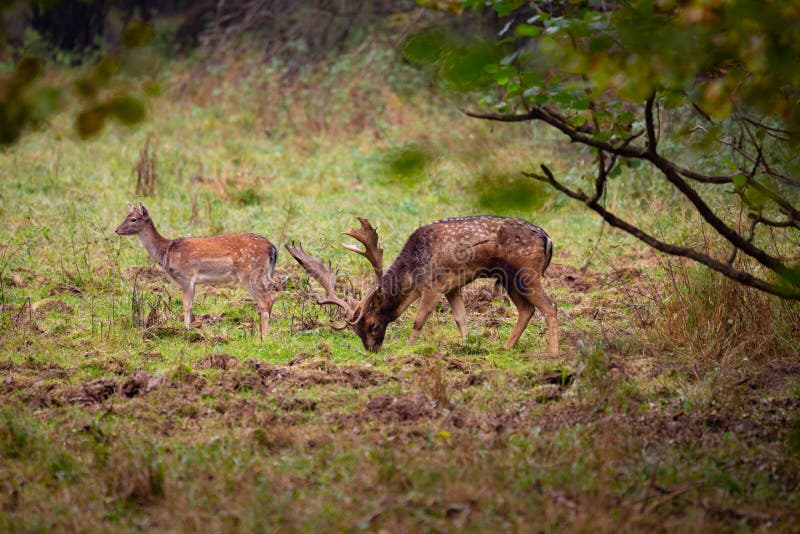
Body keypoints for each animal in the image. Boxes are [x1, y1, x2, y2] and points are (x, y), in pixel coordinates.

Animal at [114, 203, 278, 338]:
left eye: (134, 219)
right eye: (126, 216)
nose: (117, 230)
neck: (167, 252)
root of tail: (272, 248)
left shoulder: (186, 276)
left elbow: (187, 305)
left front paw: (185, 331)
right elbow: (191, 305)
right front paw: (190, 329)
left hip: (249, 273)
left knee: (266, 301)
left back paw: (263, 336)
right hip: (262, 275)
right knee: (270, 298)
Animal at [286, 216, 556, 354]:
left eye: (372, 324)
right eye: (356, 332)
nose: (372, 350)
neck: (413, 274)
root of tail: (548, 239)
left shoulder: (434, 285)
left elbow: (418, 320)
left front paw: (407, 349)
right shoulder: (453, 286)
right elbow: (461, 318)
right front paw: (466, 345)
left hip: (526, 271)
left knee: (549, 306)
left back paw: (553, 353)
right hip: (511, 278)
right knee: (527, 309)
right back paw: (506, 346)